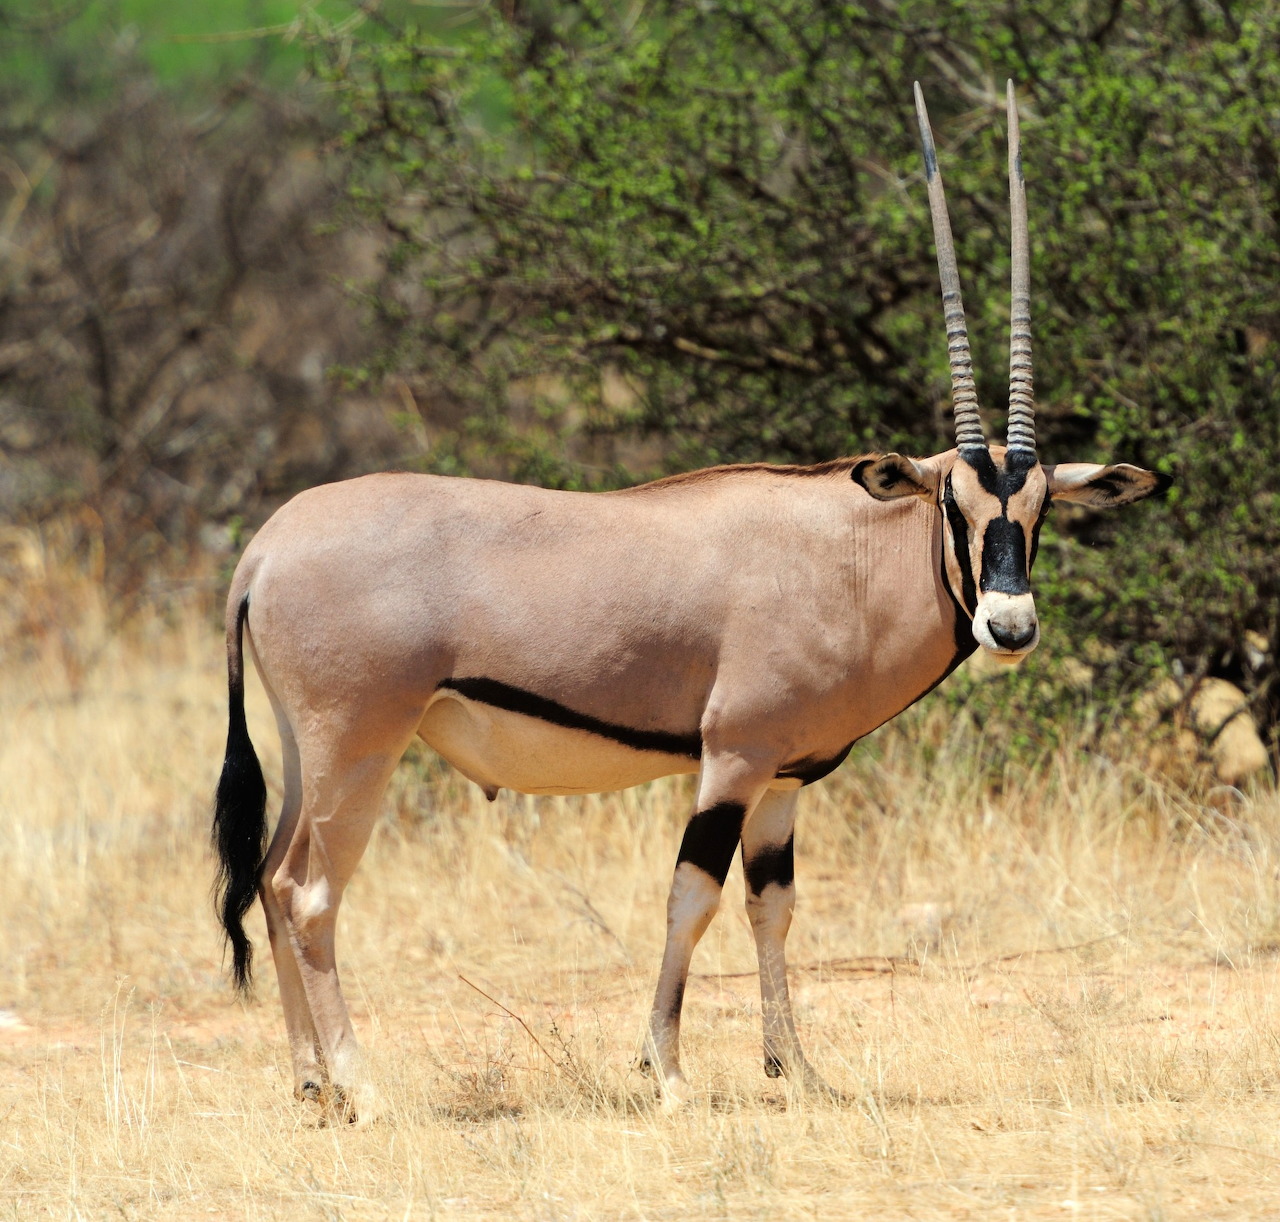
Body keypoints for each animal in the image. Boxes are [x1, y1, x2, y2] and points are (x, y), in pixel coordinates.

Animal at [213, 83, 1169, 1118]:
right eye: (954, 502)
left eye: (1040, 510)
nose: (1010, 625)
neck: (845, 552)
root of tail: (264, 551)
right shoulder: (732, 759)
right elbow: (692, 897)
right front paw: (666, 1071)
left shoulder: (786, 780)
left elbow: (771, 904)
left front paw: (798, 1068)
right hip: (360, 748)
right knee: (308, 892)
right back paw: (364, 1086)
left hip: (308, 750)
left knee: (267, 880)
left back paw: (312, 1083)